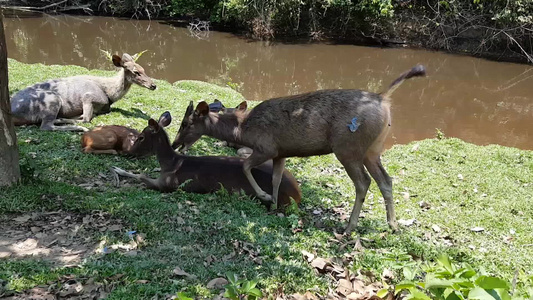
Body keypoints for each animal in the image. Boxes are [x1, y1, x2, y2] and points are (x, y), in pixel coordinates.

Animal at [10, 52, 156, 131]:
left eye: (143, 69)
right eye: (136, 72)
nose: (153, 85)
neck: (109, 94)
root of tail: (11, 110)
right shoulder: (89, 96)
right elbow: (86, 118)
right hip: (51, 99)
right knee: (46, 126)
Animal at [109, 111, 300, 207]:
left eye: (141, 137)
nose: (129, 151)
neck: (170, 163)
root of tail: (298, 193)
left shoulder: (168, 184)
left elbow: (142, 177)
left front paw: (118, 175)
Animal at [172, 65, 426, 234]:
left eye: (185, 123)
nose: (175, 143)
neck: (243, 131)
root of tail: (384, 99)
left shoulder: (266, 146)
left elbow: (245, 165)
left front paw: (264, 196)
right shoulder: (280, 153)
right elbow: (275, 179)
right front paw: (273, 205)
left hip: (348, 146)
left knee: (363, 182)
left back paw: (349, 227)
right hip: (373, 149)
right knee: (386, 180)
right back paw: (393, 225)